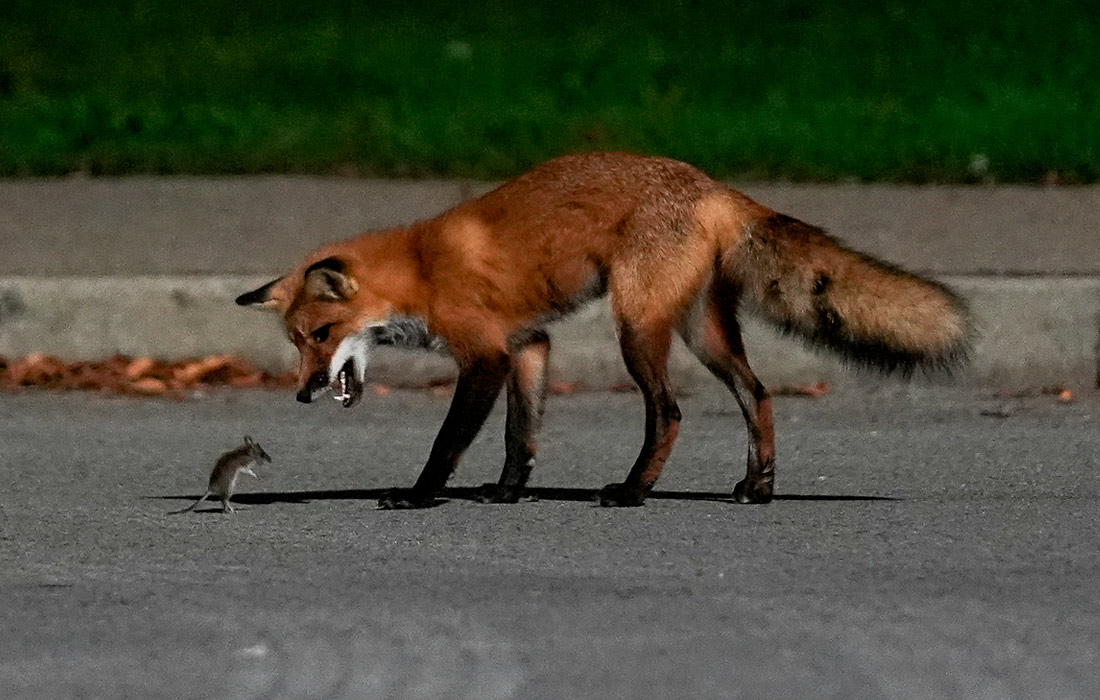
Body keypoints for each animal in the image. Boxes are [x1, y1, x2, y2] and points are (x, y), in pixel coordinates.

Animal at [236, 151, 968, 508]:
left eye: (321, 335)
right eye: (296, 342)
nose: (302, 393)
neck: (419, 268)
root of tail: (711, 185)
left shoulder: (484, 356)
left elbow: (448, 444)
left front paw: (418, 498)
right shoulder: (528, 344)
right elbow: (520, 436)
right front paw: (507, 494)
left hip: (637, 329)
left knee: (669, 412)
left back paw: (633, 493)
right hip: (703, 332)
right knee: (757, 395)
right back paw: (757, 489)